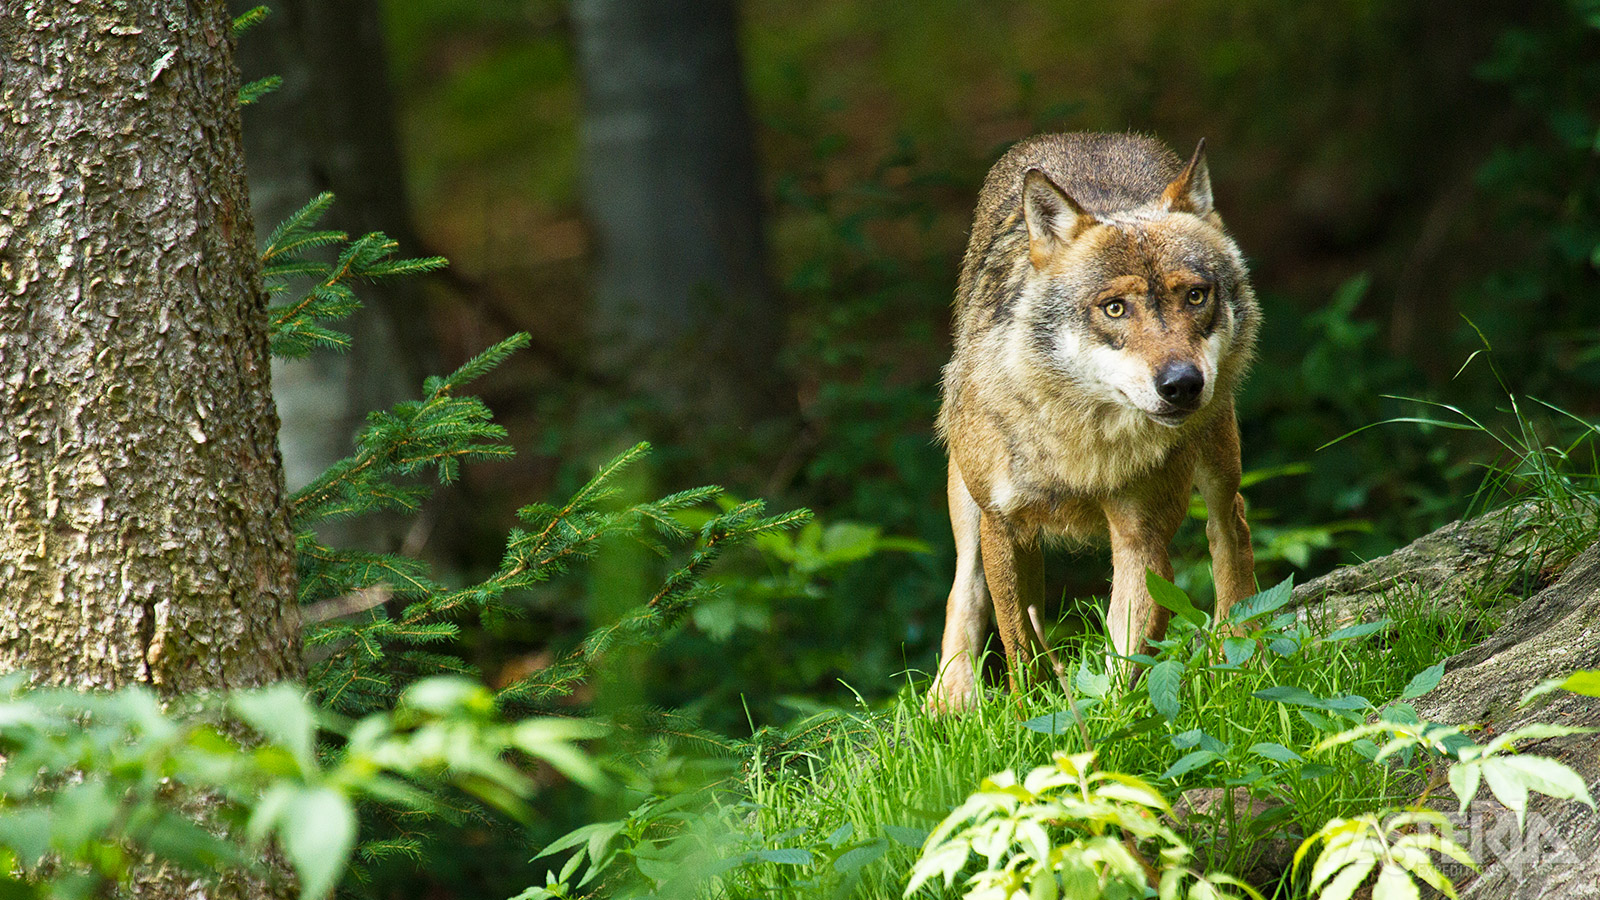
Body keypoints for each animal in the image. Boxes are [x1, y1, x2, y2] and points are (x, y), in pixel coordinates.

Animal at [934, 132, 1254, 707]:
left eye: (1195, 295)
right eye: (1115, 308)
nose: (1182, 384)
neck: (1084, 439)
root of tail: (1088, 135)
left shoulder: (1141, 536)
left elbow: (1125, 660)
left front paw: (1108, 719)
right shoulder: (1003, 524)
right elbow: (1019, 648)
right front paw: (1031, 717)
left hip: (1218, 453)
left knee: (1230, 528)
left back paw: (1239, 650)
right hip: (966, 497)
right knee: (965, 586)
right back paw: (951, 698)